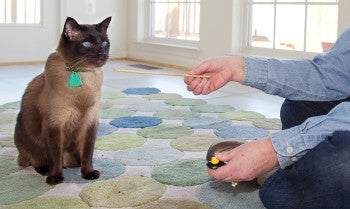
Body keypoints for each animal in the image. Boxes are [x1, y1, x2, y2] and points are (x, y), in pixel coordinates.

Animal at [14, 16, 110, 185]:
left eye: (104, 43)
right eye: (87, 44)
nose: (102, 54)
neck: (81, 74)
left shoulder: (90, 123)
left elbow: (88, 154)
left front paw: (88, 173)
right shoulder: (54, 124)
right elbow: (55, 156)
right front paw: (55, 178)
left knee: (76, 159)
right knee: (36, 159)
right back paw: (45, 170)